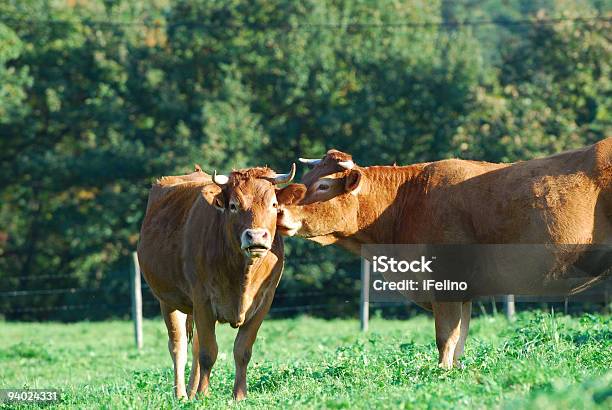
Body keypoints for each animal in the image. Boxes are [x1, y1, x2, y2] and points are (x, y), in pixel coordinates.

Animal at [137, 164, 294, 400]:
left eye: (273, 204)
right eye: (234, 205)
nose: (256, 236)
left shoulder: (264, 301)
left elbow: (242, 350)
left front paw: (239, 395)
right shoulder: (203, 300)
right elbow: (208, 353)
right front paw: (204, 394)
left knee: (194, 347)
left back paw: (191, 391)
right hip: (168, 300)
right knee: (178, 347)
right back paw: (182, 394)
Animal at [278, 139, 612, 370]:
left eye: (323, 185)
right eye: (306, 180)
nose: (278, 210)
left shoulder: (445, 283)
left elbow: (446, 337)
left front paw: (441, 372)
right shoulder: (462, 292)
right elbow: (459, 338)